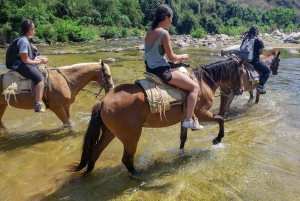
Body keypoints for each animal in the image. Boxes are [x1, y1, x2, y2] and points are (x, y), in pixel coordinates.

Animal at [71, 57, 245, 176]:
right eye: (243, 72)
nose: (241, 90)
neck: (202, 83)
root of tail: (103, 102)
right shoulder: (202, 114)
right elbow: (220, 119)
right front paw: (218, 139)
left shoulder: (185, 119)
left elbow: (183, 138)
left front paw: (181, 154)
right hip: (130, 136)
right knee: (126, 158)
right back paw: (137, 174)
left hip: (109, 133)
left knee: (95, 153)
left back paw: (88, 173)